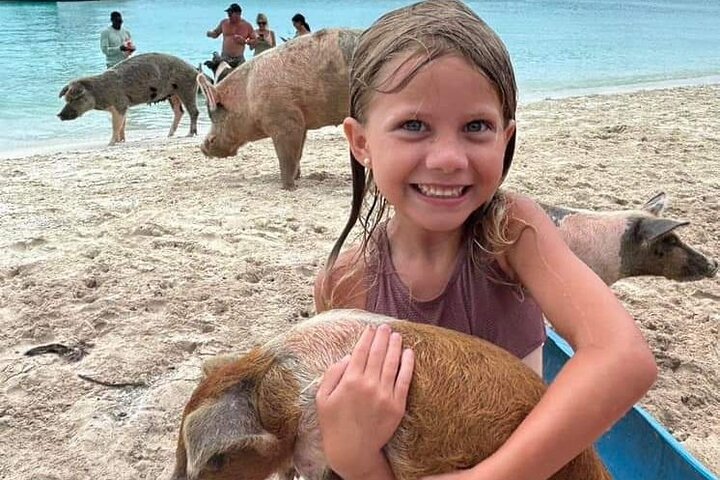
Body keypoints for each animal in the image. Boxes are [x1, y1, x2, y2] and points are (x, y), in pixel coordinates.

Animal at [58, 53, 200, 145]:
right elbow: (123, 124)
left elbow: (116, 125)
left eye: (74, 99)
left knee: (194, 112)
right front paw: (121, 141)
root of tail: (195, 69)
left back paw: (189, 134)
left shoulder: (120, 104)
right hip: (173, 94)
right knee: (179, 111)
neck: (99, 92)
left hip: (186, 89)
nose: (59, 115)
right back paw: (169, 135)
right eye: (66, 99)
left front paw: (110, 144)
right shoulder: (122, 107)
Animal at [197, 28, 362, 190]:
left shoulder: (286, 122)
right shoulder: (301, 123)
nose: (202, 146)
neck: (247, 95)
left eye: (215, 114)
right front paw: (297, 178)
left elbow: (286, 157)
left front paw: (288, 187)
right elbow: (298, 154)